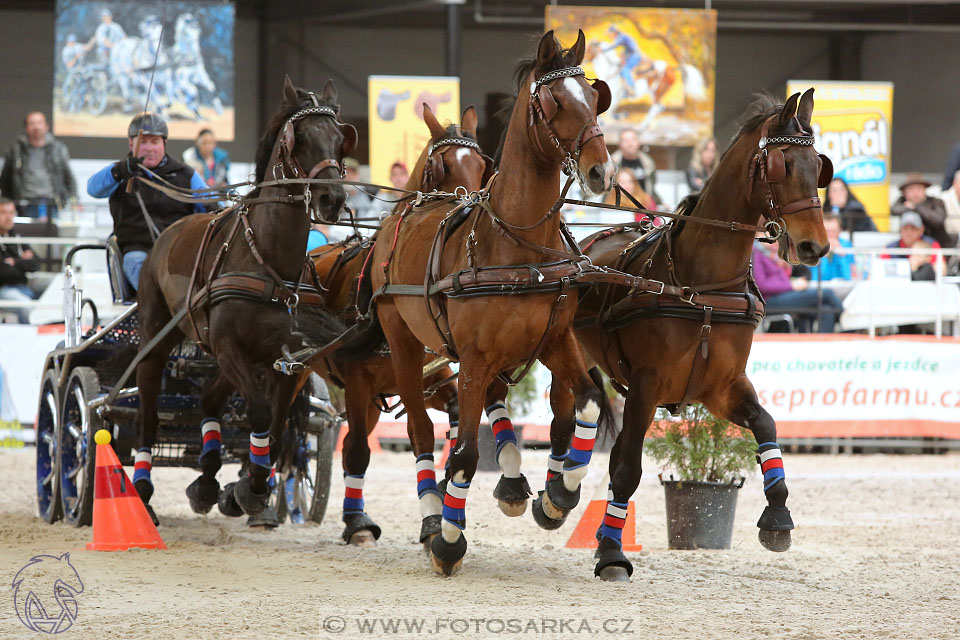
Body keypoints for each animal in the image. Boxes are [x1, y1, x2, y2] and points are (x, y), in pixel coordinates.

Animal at [132, 77, 360, 524]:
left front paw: (244, 490)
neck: (269, 260)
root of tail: (170, 231)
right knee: (147, 411)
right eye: (299, 138)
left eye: (340, 138)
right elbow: (258, 415)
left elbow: (276, 430)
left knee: (208, 399)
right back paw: (144, 489)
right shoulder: (228, 346)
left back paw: (206, 482)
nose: (332, 200)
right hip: (157, 336)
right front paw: (249, 489)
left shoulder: (287, 361)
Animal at [302, 104, 498, 544]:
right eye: (440, 166)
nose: (467, 209)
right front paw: (362, 523)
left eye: (483, 166)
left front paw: (446, 484)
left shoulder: (431, 379)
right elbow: (365, 448)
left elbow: (452, 416)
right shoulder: (360, 382)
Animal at [372, 30, 620, 576]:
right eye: (554, 102)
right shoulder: (473, 356)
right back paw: (433, 518)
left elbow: (585, 405)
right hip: (404, 345)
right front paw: (448, 541)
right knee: (422, 431)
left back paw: (510, 482)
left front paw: (558, 494)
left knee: (498, 404)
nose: (601, 172)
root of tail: (405, 209)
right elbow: (464, 453)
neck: (517, 243)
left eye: (595, 99)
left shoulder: (554, 340)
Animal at [576, 89, 832, 580]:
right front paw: (613, 553)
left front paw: (777, 518)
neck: (704, 288)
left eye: (819, 166)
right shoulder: (647, 385)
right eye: (783, 165)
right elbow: (628, 470)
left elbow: (766, 424)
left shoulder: (722, 387)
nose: (816, 246)